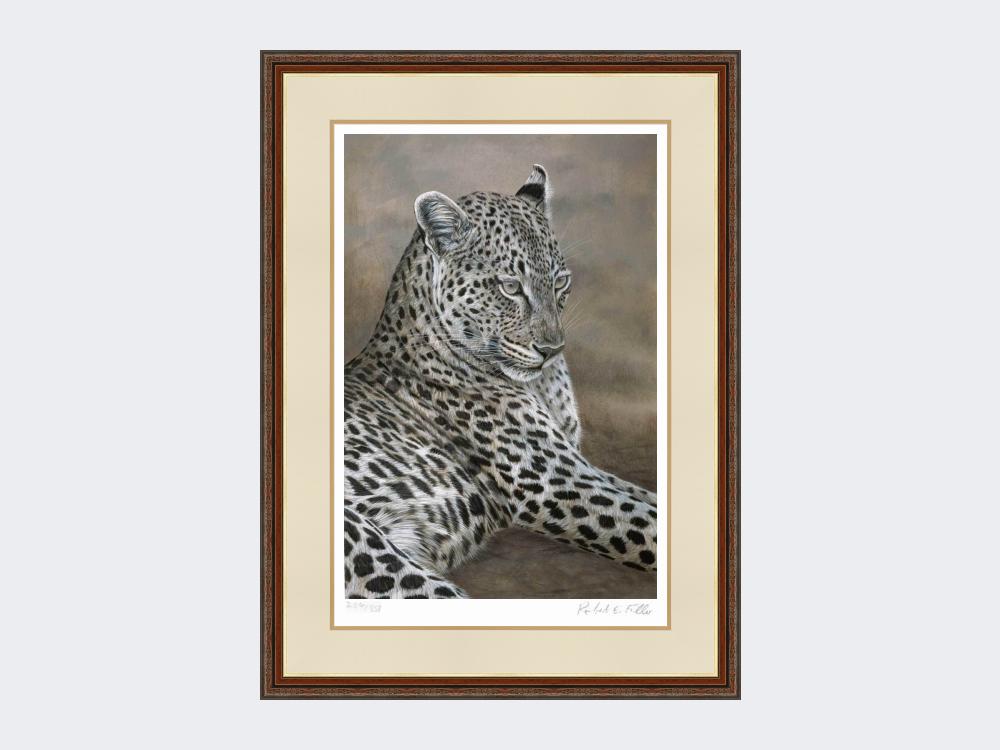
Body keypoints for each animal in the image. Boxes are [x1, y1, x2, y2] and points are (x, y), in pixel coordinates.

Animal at [343, 165, 657, 598]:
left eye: (560, 283)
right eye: (510, 287)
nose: (552, 349)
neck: (542, 384)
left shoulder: (576, 465)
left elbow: (647, 496)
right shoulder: (553, 481)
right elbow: (647, 524)